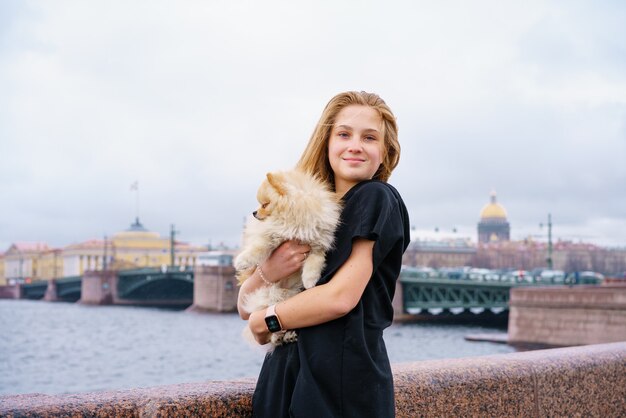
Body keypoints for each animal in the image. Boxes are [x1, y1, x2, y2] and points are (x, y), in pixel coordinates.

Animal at [235, 170, 342, 350]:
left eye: (265, 205)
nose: (254, 213)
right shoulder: (271, 235)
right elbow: (259, 247)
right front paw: (242, 261)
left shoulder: (318, 244)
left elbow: (314, 262)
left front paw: (310, 280)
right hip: (266, 296)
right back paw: (278, 337)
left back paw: (286, 336)